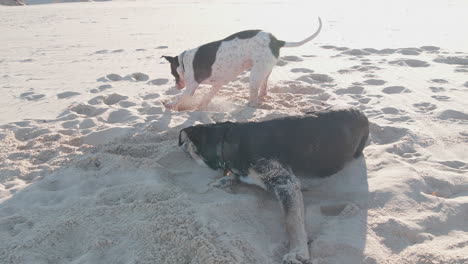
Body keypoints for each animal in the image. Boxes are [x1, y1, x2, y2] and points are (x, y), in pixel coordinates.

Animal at [162, 17, 322, 110]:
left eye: (172, 73)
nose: (176, 86)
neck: (183, 61)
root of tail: (276, 41)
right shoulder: (218, 83)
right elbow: (207, 96)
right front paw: (202, 106)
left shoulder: (191, 88)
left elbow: (179, 98)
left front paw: (170, 104)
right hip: (263, 71)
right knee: (263, 87)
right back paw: (262, 96)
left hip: (254, 75)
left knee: (254, 98)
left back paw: (249, 104)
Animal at [178, 107, 370, 264]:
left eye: (186, 147)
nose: (182, 150)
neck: (225, 141)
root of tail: (361, 113)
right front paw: (221, 181)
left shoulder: (285, 182)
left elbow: (292, 221)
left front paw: (297, 252)